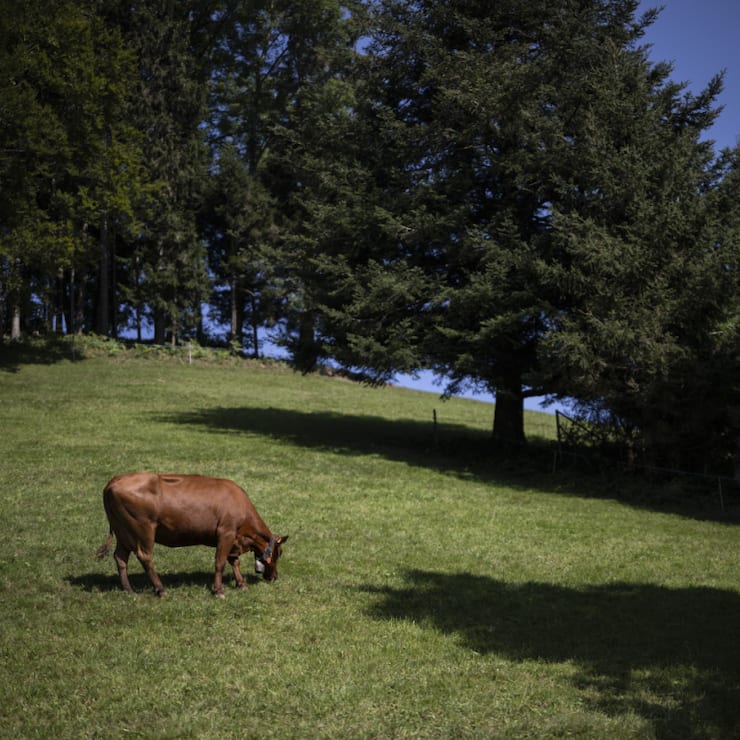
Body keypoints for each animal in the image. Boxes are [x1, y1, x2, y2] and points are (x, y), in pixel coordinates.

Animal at [95, 473, 287, 598]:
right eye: (279, 553)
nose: (274, 577)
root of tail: (115, 480)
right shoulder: (226, 532)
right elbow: (220, 563)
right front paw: (219, 590)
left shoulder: (234, 539)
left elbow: (234, 561)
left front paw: (242, 584)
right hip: (143, 529)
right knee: (145, 556)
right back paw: (160, 589)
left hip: (123, 532)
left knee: (120, 557)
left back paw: (129, 589)